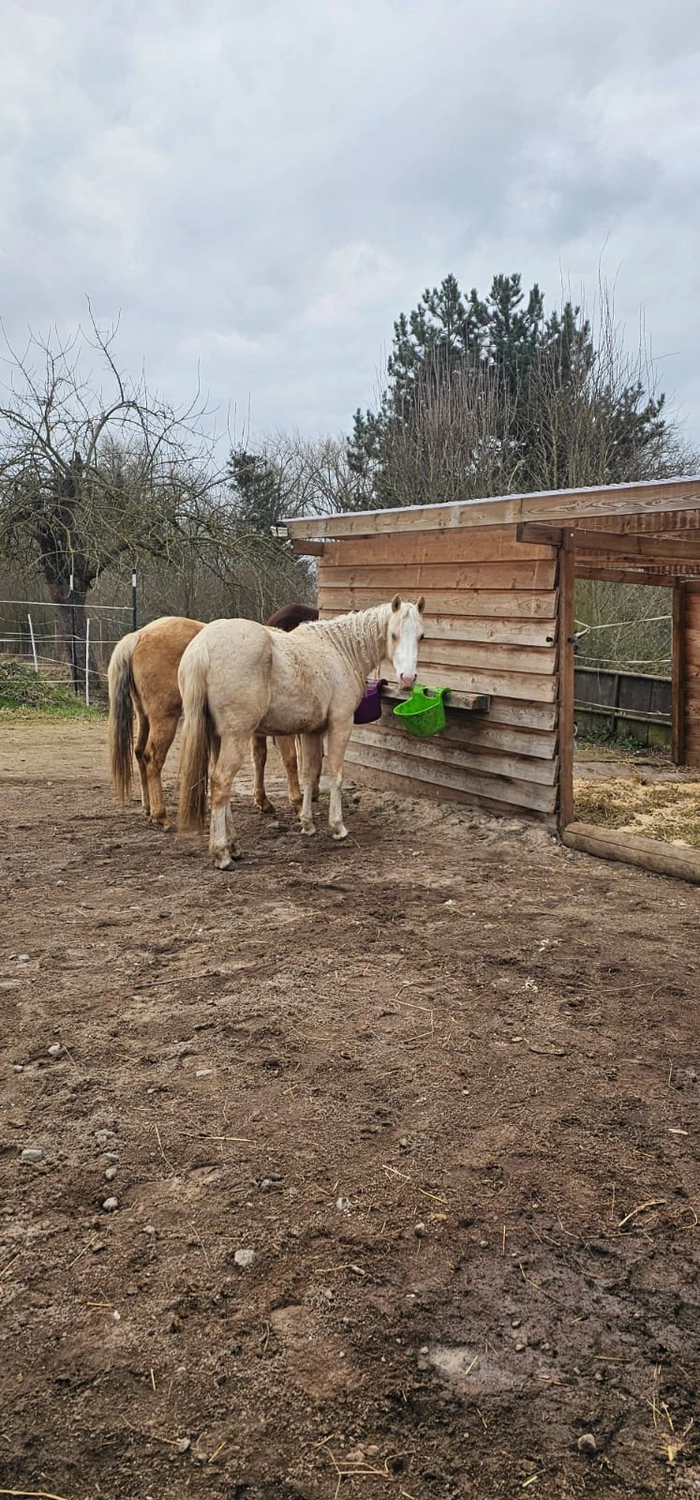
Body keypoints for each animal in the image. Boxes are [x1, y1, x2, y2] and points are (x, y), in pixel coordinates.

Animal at [107, 605, 318, 828]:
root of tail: (139, 636)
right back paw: (161, 815)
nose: (315, 795)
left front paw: (263, 800)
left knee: (139, 752)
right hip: (165, 719)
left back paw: (148, 809)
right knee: (152, 758)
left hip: (145, 717)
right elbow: (290, 760)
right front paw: (297, 804)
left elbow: (259, 757)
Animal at [176, 595, 425, 869]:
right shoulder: (340, 724)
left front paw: (307, 823)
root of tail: (203, 646)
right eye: (393, 634)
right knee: (221, 783)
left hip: (217, 738)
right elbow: (335, 775)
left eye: (421, 636)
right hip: (235, 738)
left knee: (220, 786)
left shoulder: (311, 732)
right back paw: (222, 854)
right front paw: (337, 827)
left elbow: (308, 774)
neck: (340, 650)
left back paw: (234, 847)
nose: (407, 679)